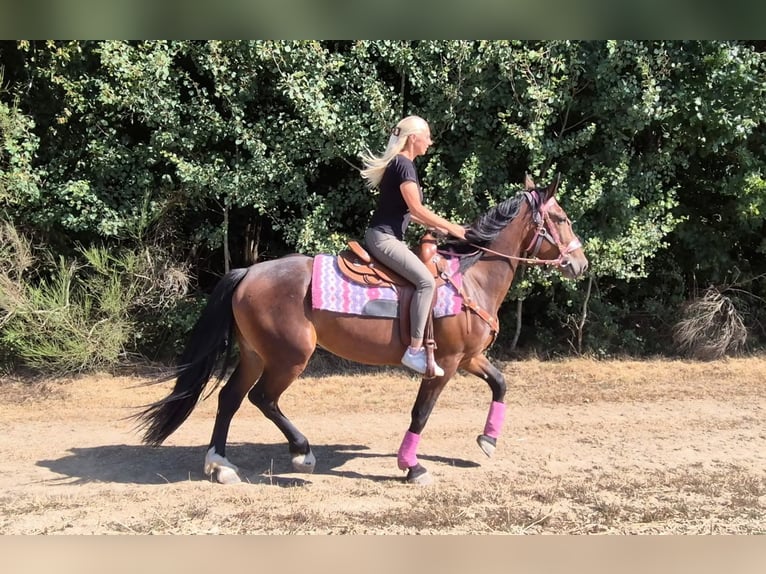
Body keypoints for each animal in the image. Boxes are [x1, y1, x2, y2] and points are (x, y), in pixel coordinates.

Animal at [134, 174, 588, 485]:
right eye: (561, 218)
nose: (580, 263)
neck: (470, 278)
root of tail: (247, 272)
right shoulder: (444, 363)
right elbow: (421, 413)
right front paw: (411, 466)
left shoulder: (470, 357)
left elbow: (500, 384)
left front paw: (488, 440)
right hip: (288, 357)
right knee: (263, 399)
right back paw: (301, 453)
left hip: (254, 354)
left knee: (229, 399)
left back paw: (220, 465)